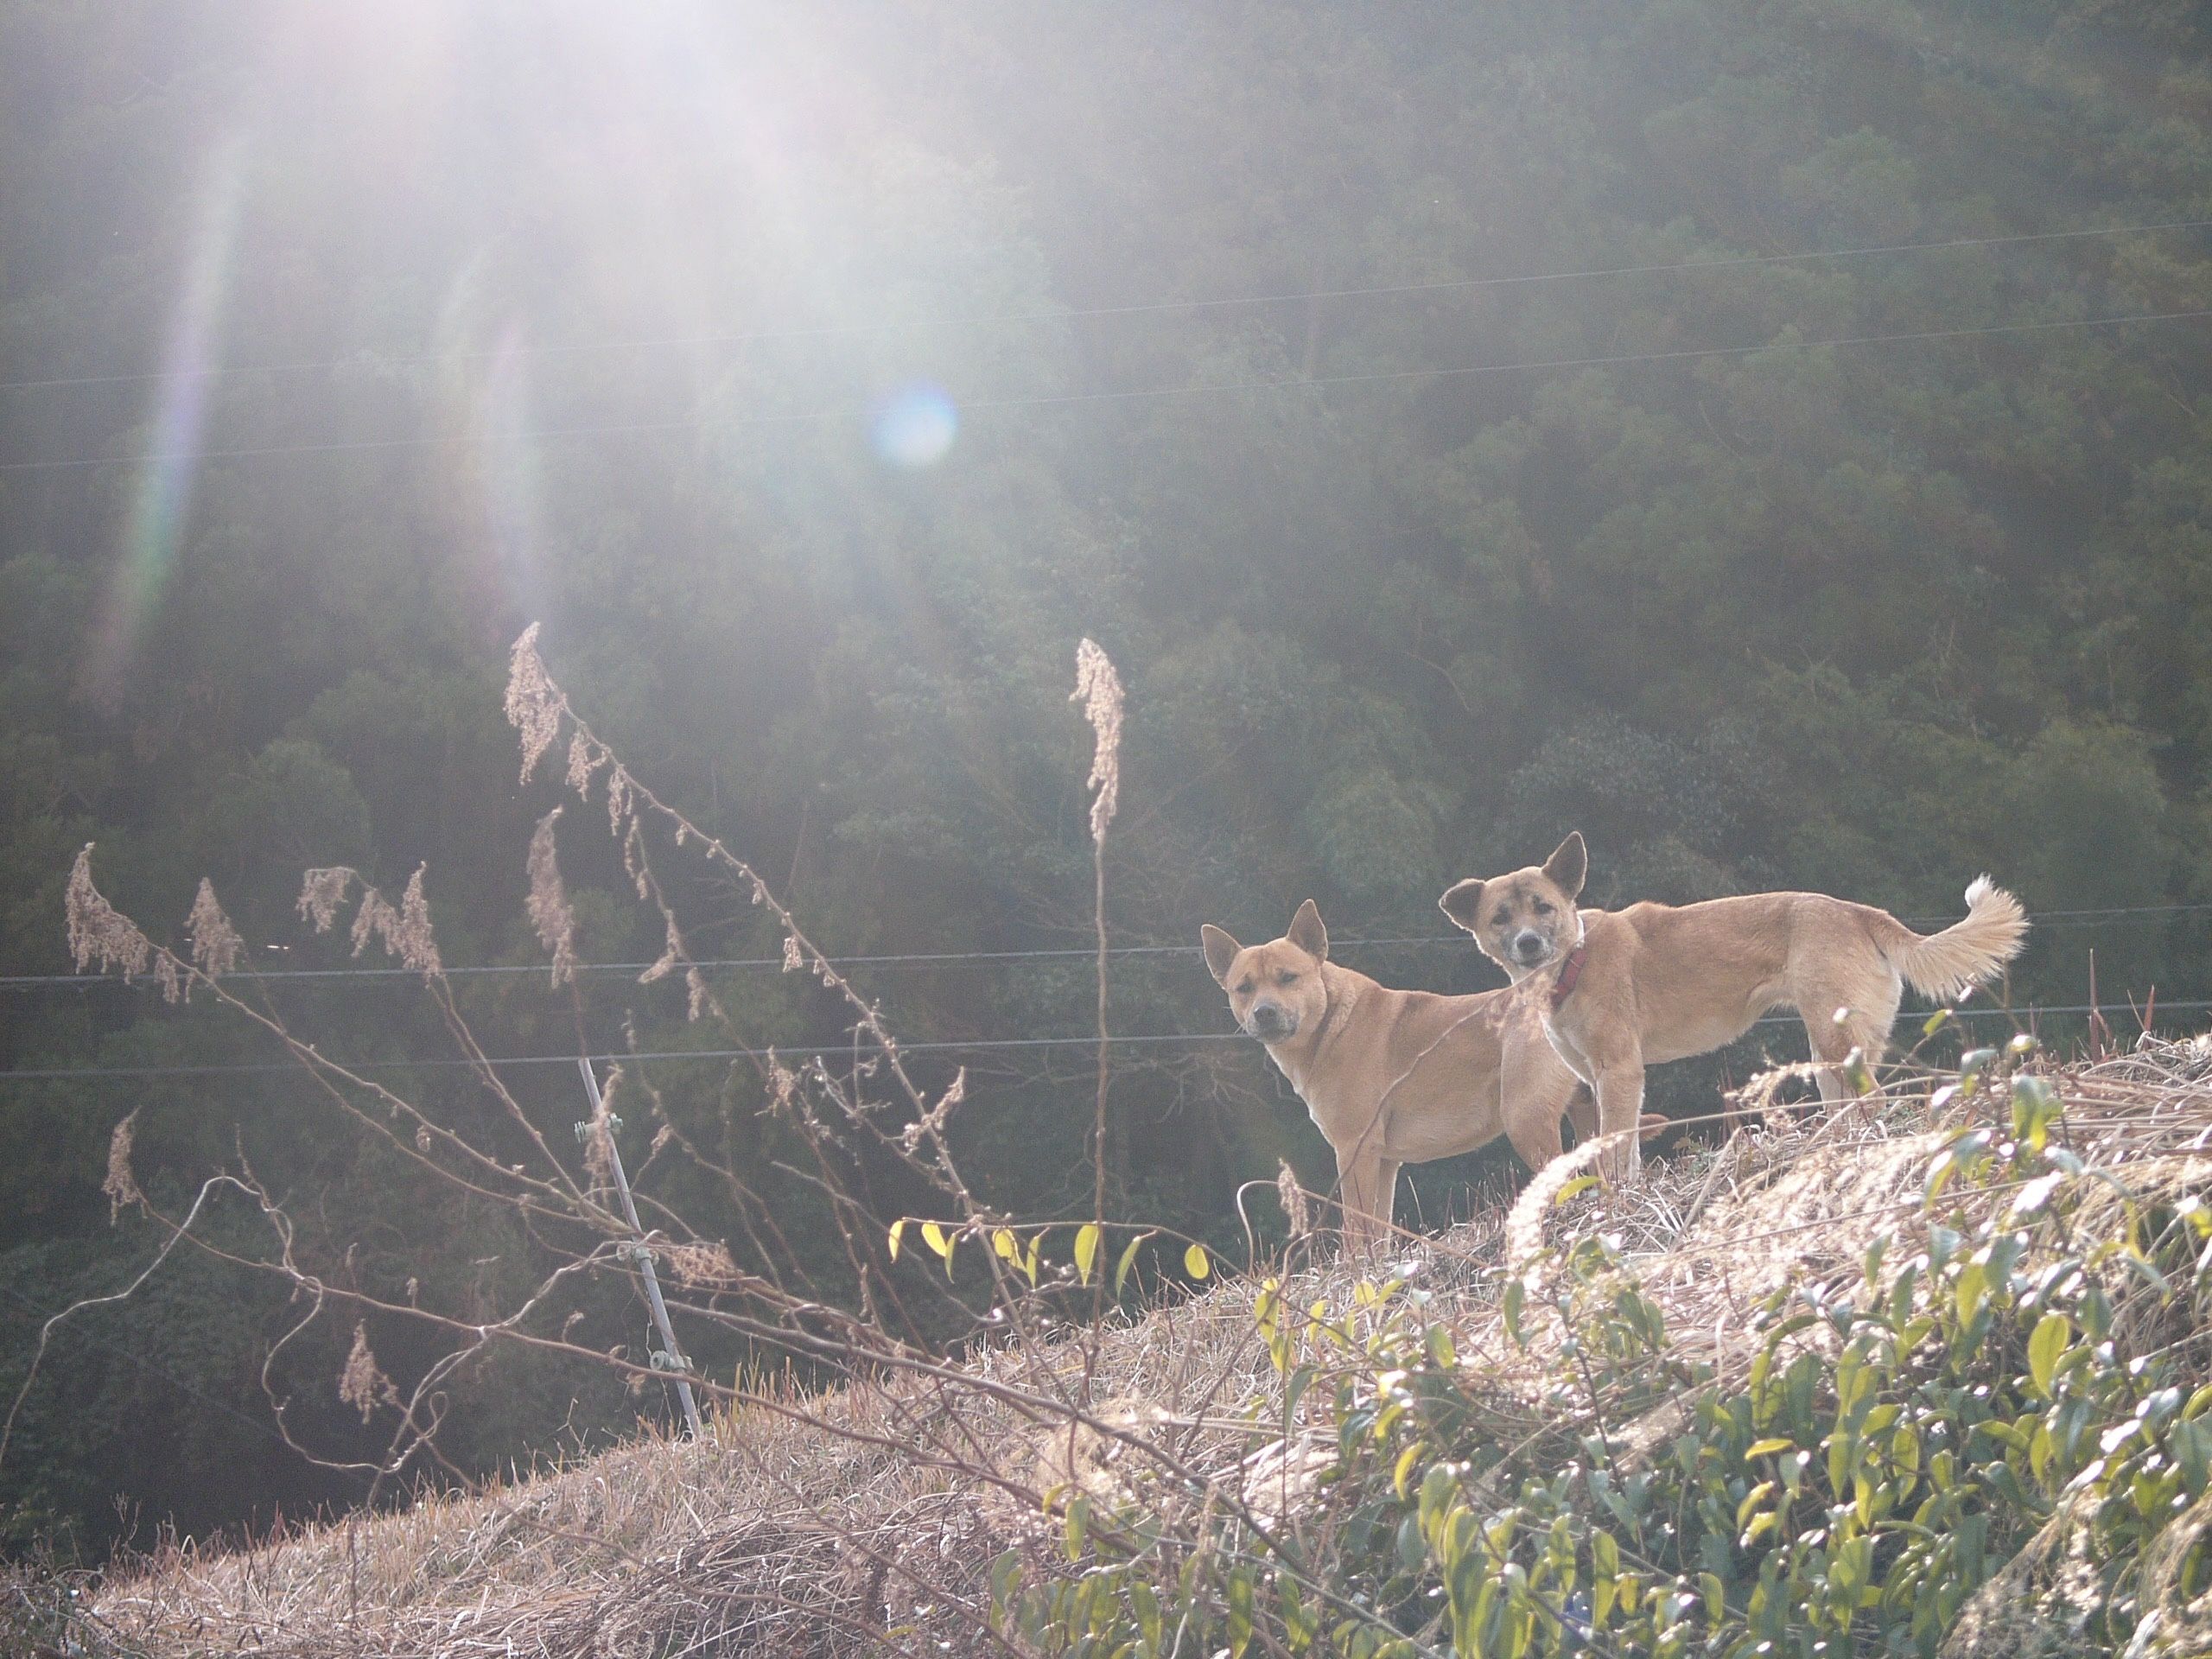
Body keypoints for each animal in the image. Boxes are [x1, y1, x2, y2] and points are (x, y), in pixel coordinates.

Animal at [1211, 902, 1628, 1256]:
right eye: (1244, 988)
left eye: (1288, 978)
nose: (1264, 1012)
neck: (1330, 1023)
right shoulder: (1384, 1161)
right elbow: (1379, 1230)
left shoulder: (1353, 1149)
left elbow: (1355, 1229)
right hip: (1584, 1112)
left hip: (1525, 1118)